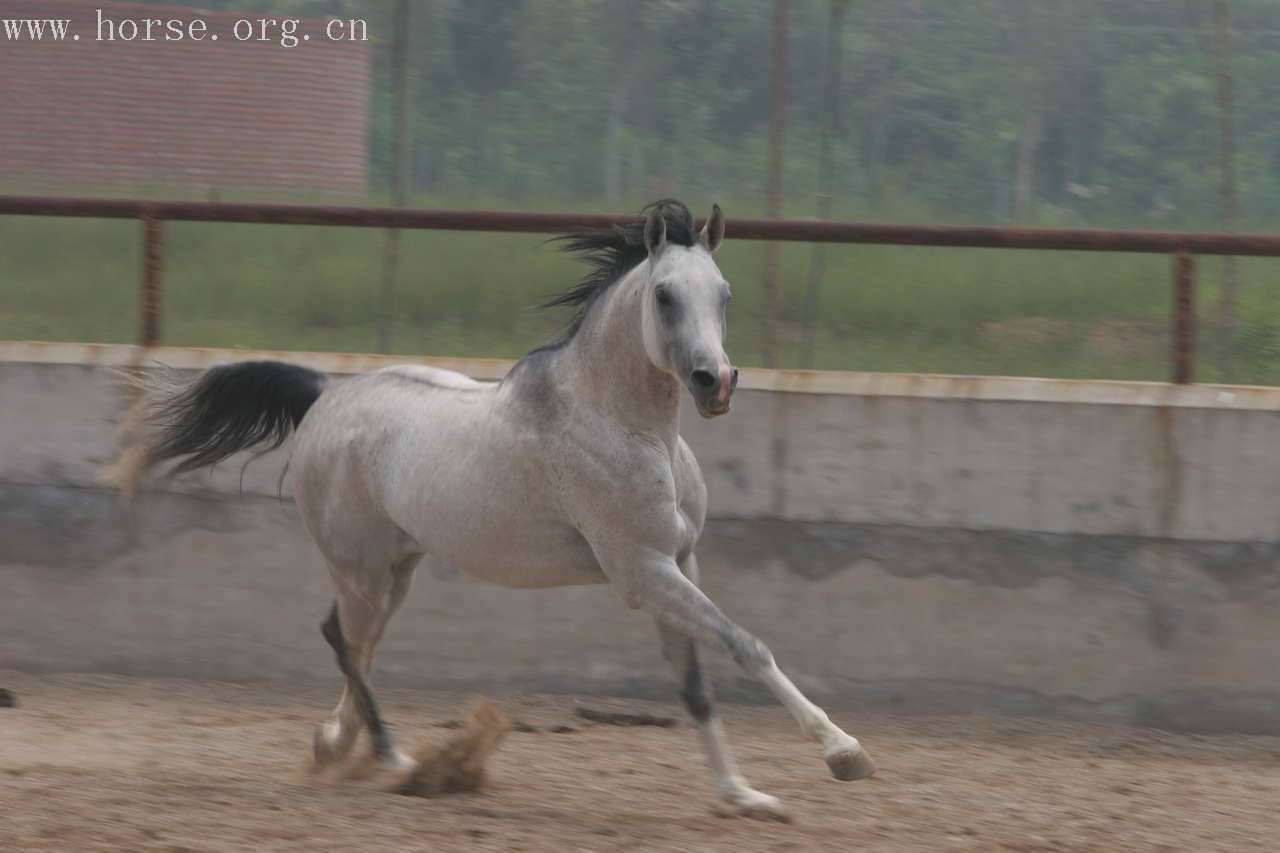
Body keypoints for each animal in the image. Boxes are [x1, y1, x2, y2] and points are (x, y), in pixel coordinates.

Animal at [120, 199, 875, 819]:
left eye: (723, 294)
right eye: (664, 295)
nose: (715, 382)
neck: (621, 423)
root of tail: (327, 393)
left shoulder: (677, 563)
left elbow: (696, 686)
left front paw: (742, 795)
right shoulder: (643, 571)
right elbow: (747, 643)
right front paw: (844, 753)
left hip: (398, 569)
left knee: (358, 642)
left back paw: (337, 745)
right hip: (359, 566)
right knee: (343, 638)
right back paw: (391, 756)